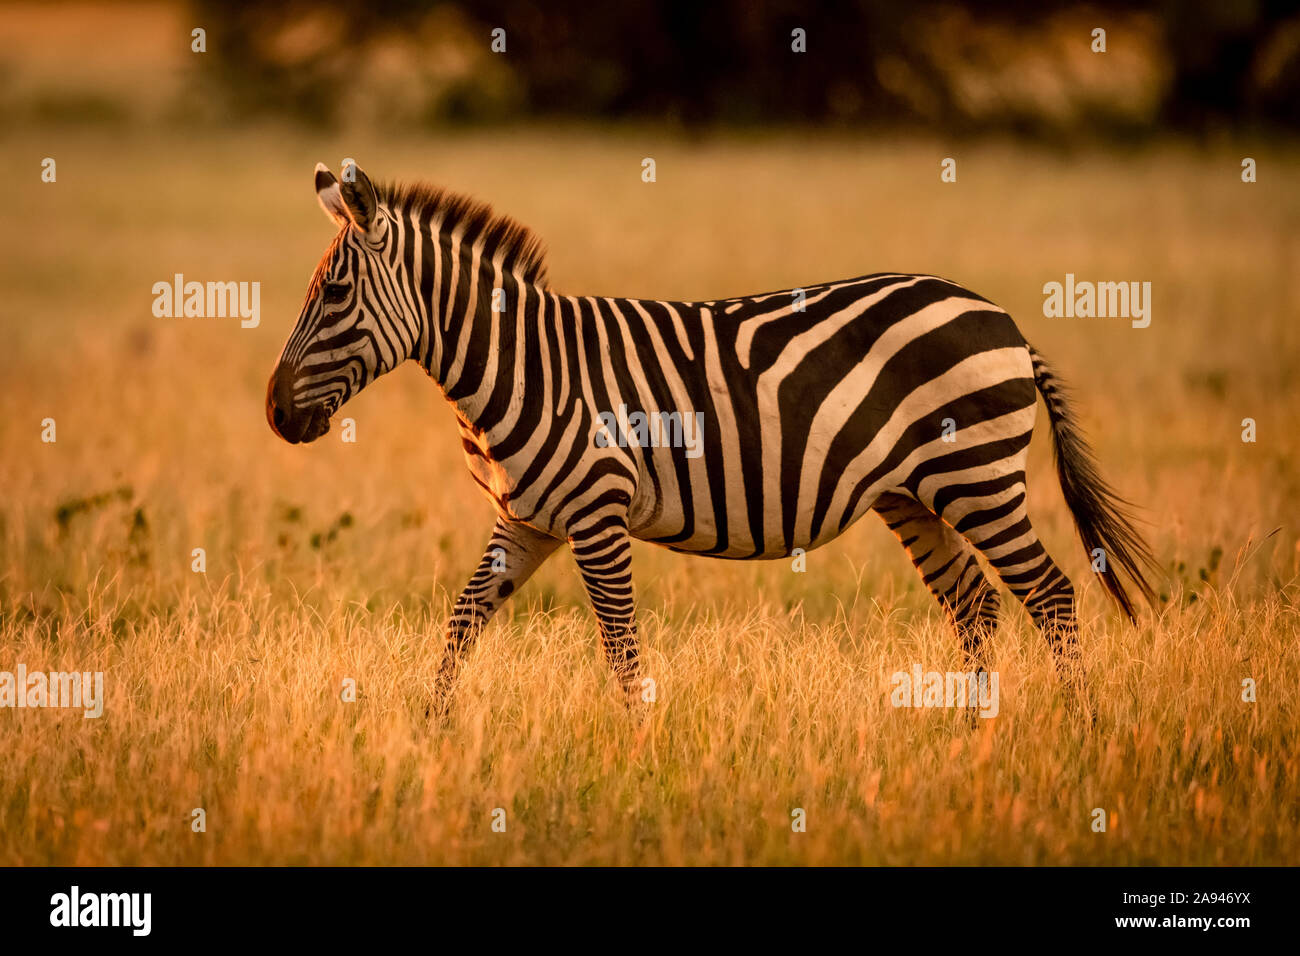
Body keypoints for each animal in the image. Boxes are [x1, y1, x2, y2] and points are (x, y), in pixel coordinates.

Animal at [266, 162, 1159, 717]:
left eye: (335, 292)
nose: (274, 414)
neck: (526, 364)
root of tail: (1003, 318)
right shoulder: (526, 521)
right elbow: (460, 624)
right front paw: (431, 730)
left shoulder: (596, 514)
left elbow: (620, 644)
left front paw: (634, 750)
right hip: (914, 495)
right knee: (975, 605)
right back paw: (972, 734)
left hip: (977, 476)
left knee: (1049, 594)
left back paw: (1077, 730)